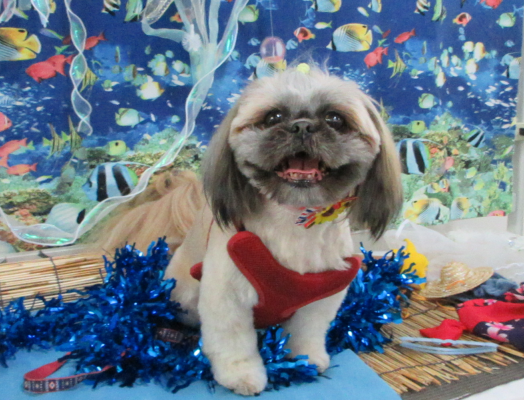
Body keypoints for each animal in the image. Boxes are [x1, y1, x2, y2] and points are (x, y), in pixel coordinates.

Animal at [95, 65, 403, 395]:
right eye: (273, 117)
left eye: (334, 119)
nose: (303, 126)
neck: (294, 222)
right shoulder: (226, 296)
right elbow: (233, 343)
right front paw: (241, 376)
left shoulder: (322, 294)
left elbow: (307, 332)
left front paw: (305, 358)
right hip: (184, 294)